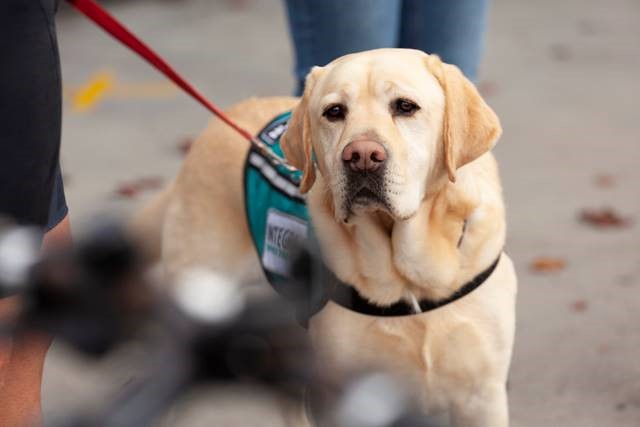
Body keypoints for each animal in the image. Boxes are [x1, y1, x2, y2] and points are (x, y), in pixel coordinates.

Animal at [138, 50, 516, 427]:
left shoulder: (481, 398)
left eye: (406, 106)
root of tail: (222, 120)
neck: (408, 284)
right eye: (334, 112)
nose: (362, 157)